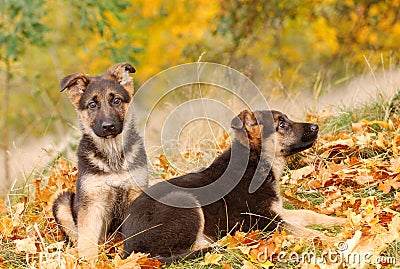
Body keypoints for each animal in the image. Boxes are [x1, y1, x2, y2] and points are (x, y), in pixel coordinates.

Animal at [51, 62, 148, 260]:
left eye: (116, 100)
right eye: (92, 105)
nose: (108, 127)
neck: (113, 155)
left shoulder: (136, 192)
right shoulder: (92, 202)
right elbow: (87, 239)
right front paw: (89, 261)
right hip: (63, 202)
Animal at [120, 108, 346, 260]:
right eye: (281, 124)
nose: (316, 127)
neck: (256, 161)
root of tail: (128, 248)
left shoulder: (276, 213)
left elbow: (310, 215)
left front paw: (341, 221)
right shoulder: (266, 222)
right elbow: (309, 233)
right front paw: (334, 241)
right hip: (183, 202)